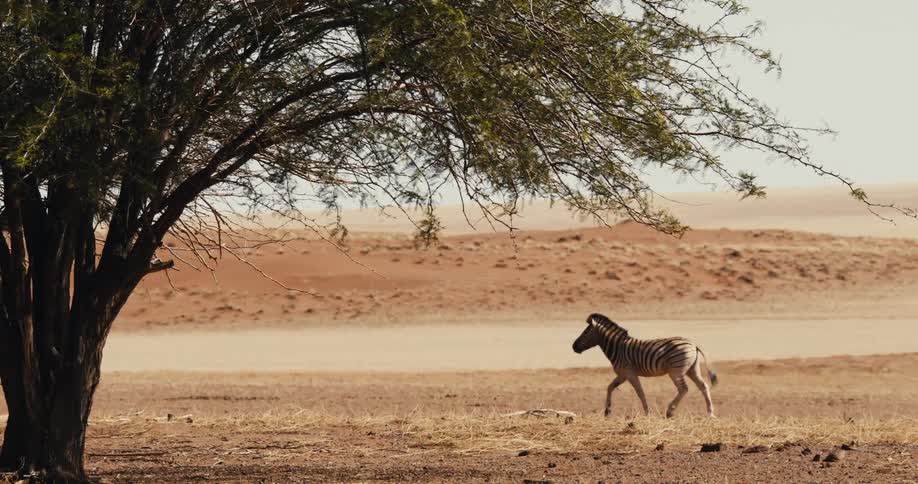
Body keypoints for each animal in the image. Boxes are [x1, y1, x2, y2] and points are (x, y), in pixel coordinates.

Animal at [572, 313, 717, 418]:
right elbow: (610, 387)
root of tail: (694, 345)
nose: (573, 347)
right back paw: (710, 413)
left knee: (684, 389)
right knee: (703, 386)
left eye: (586, 332)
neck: (618, 348)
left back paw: (670, 411)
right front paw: (607, 411)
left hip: (676, 371)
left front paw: (648, 412)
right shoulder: (622, 374)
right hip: (692, 369)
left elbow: (640, 392)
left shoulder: (629, 373)